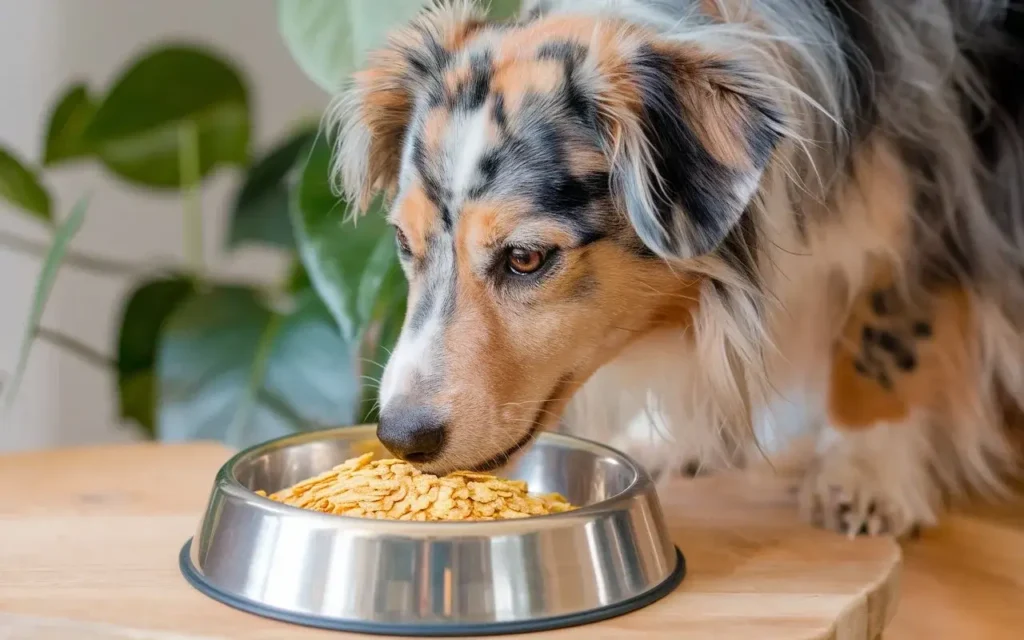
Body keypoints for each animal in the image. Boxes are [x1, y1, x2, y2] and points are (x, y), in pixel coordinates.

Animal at [329, 0, 1024, 536]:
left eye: (526, 258)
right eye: (403, 242)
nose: (401, 436)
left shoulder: (941, 192)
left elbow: (886, 339)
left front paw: (863, 475)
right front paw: (675, 441)